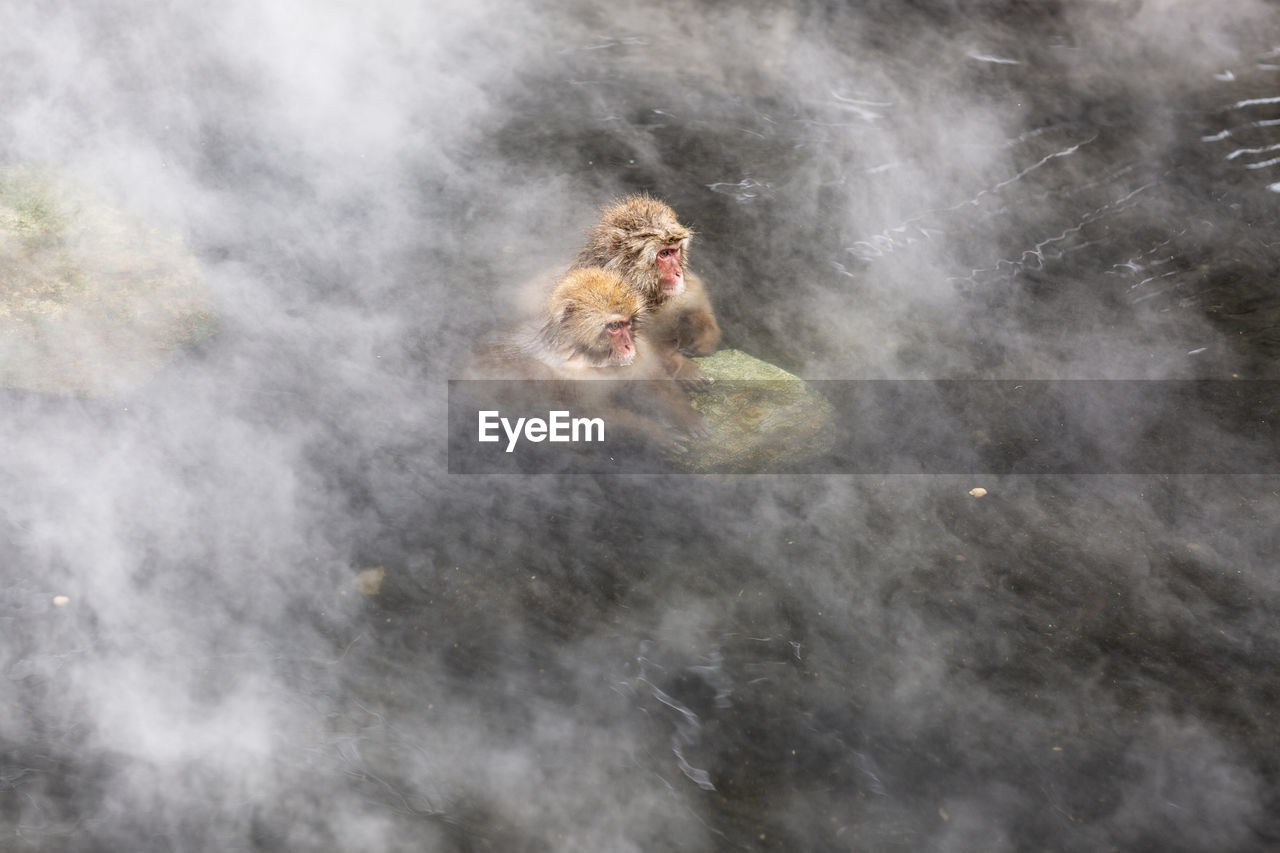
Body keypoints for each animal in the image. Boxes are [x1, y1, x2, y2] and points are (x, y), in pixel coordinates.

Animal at [471, 266, 711, 450]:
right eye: (614, 326)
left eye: (629, 323)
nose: (629, 345)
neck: (589, 355)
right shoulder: (565, 376)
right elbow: (591, 417)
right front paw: (656, 433)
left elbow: (652, 382)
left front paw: (687, 417)